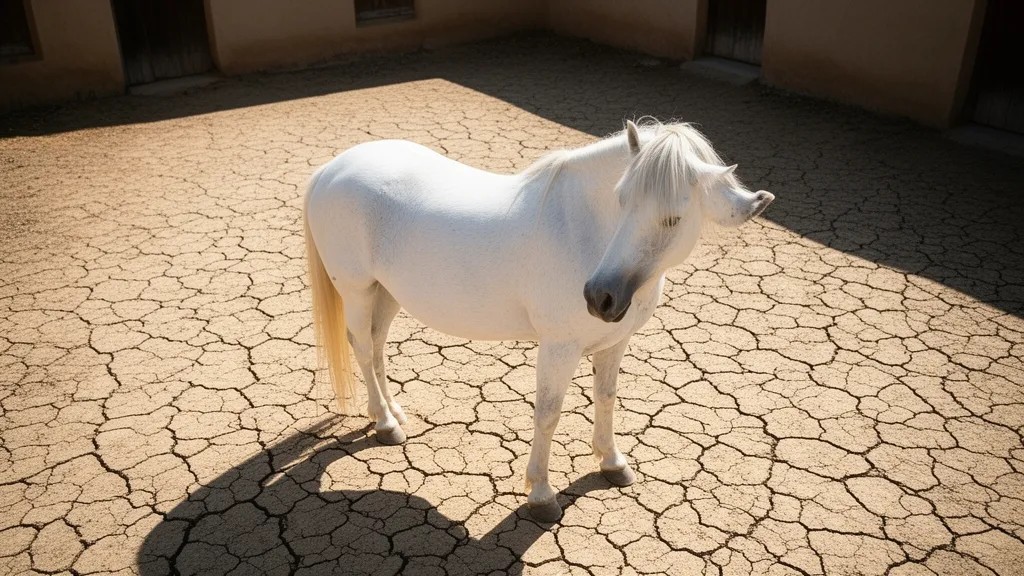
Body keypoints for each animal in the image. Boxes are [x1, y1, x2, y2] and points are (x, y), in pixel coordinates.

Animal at [303, 119, 774, 522]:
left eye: (674, 218)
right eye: (621, 200)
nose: (600, 297)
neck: (583, 229)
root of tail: (330, 170)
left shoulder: (614, 343)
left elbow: (606, 398)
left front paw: (612, 462)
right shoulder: (559, 347)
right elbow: (548, 413)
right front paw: (542, 494)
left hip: (386, 293)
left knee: (377, 345)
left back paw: (393, 412)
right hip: (358, 291)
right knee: (364, 348)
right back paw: (385, 424)